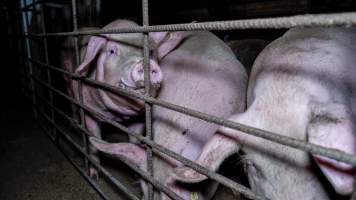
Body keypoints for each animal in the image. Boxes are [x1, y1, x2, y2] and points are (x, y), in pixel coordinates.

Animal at [60, 19, 164, 178]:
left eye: (151, 52)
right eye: (112, 51)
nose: (144, 63)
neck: (116, 115)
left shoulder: (138, 118)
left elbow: (134, 139)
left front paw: (137, 173)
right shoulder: (89, 108)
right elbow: (93, 139)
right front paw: (94, 175)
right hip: (66, 77)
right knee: (72, 100)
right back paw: (73, 123)